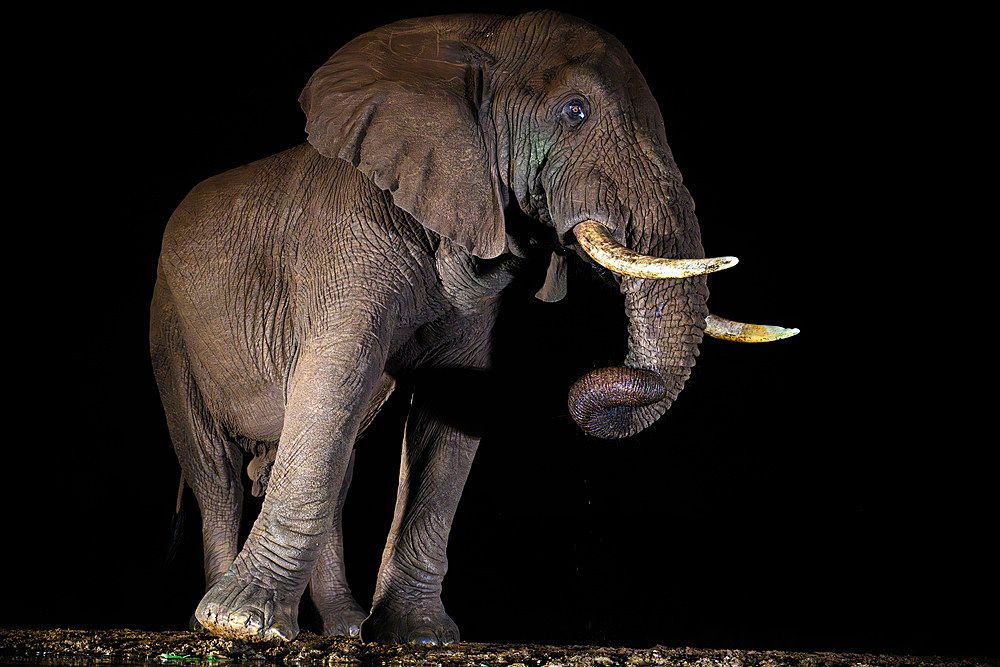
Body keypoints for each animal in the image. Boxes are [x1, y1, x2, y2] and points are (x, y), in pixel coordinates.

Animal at [150, 9, 796, 648]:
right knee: (217, 473)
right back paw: (210, 622)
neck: (470, 40)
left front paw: (421, 637)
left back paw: (345, 631)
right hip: (170, 329)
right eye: (575, 111)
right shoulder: (344, 250)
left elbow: (450, 405)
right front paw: (242, 625)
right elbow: (334, 381)